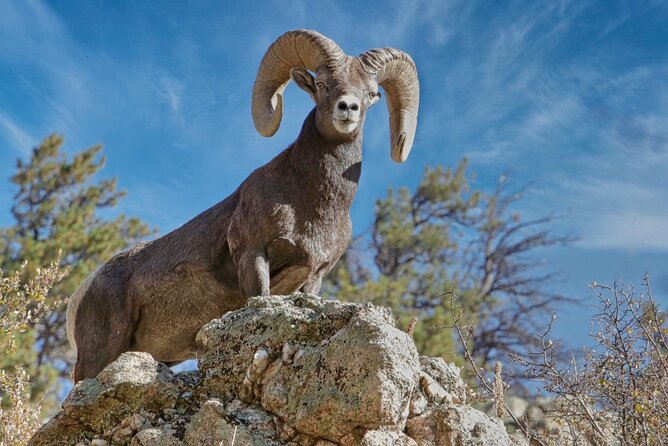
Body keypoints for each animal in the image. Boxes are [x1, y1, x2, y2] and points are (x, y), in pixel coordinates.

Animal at [65, 29, 420, 382]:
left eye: (371, 93)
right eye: (321, 84)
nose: (348, 108)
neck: (312, 204)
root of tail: (81, 293)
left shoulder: (314, 277)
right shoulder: (253, 254)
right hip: (99, 354)